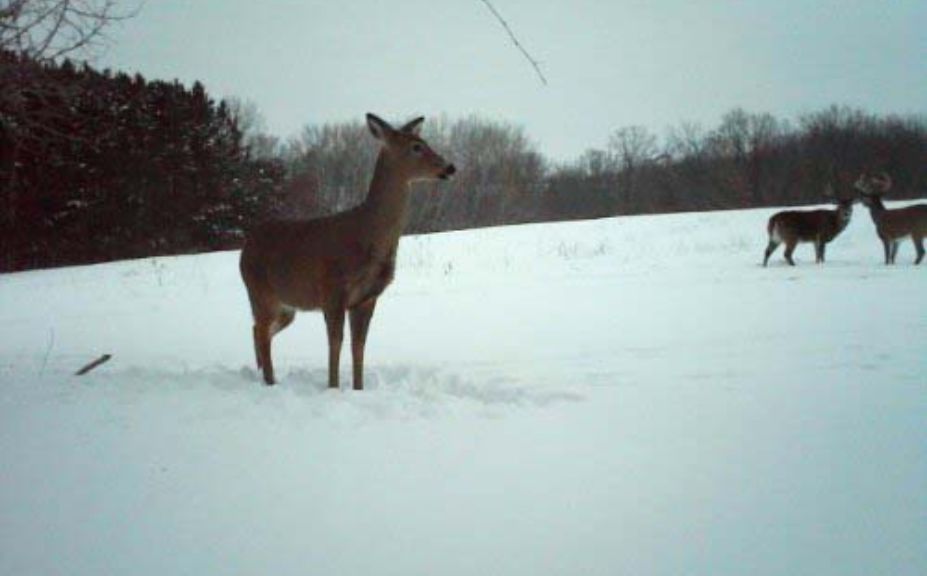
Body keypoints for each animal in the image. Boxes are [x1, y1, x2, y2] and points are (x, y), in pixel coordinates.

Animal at [239, 113, 456, 388]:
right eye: (416, 146)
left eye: (424, 142)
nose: (449, 167)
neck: (367, 235)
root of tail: (245, 248)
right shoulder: (332, 289)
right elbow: (336, 343)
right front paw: (333, 387)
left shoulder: (367, 297)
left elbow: (358, 346)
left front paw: (358, 388)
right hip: (260, 292)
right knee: (262, 331)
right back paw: (269, 382)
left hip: (287, 307)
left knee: (258, 330)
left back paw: (261, 375)